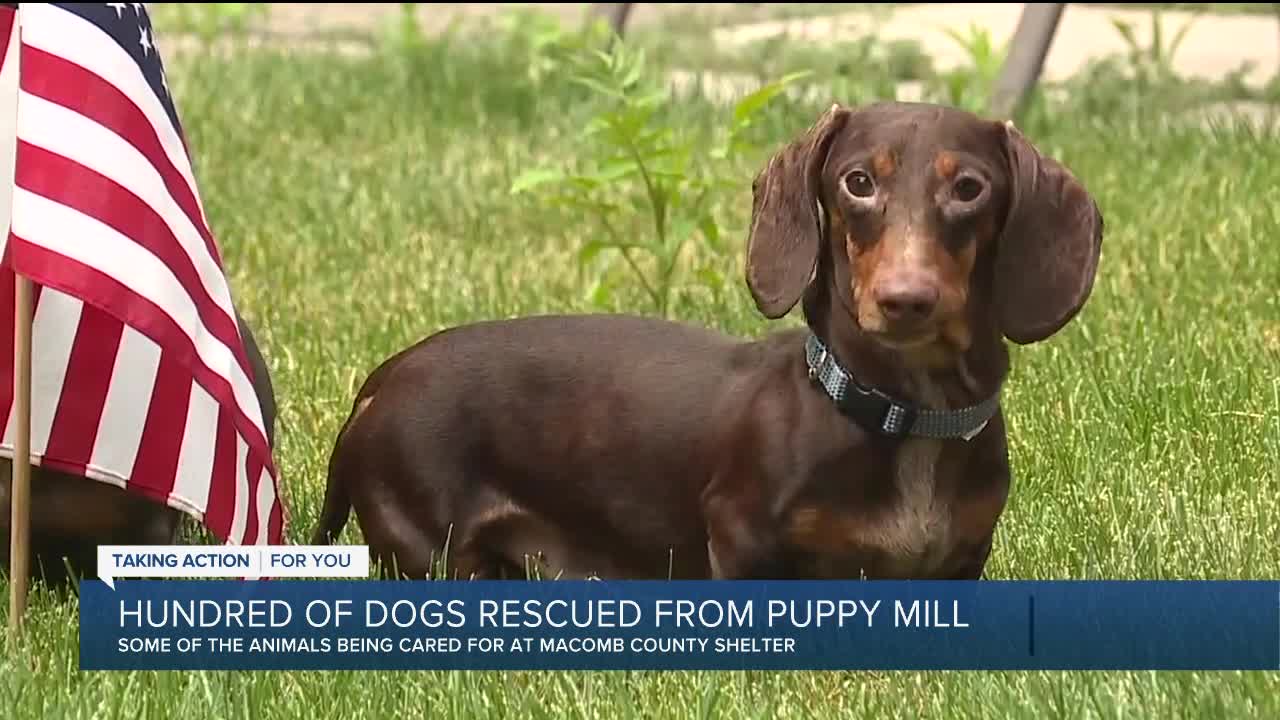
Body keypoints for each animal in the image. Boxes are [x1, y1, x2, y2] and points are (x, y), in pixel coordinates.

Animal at [314, 101, 1105, 579]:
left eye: (969, 188)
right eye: (857, 182)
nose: (904, 300)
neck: (901, 411)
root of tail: (381, 380)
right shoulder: (741, 540)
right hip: (434, 547)